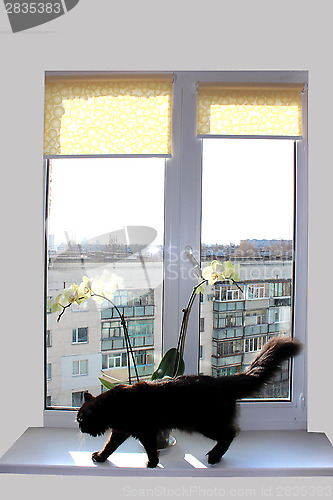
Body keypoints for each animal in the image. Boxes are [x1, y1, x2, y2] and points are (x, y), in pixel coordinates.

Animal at [77, 336, 298, 468]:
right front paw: (100, 457)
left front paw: (152, 463)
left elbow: (150, 448)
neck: (113, 406)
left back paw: (214, 457)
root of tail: (221, 380)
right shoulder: (121, 431)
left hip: (205, 424)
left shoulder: (145, 430)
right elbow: (109, 446)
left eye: (80, 419)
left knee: (231, 433)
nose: (79, 428)